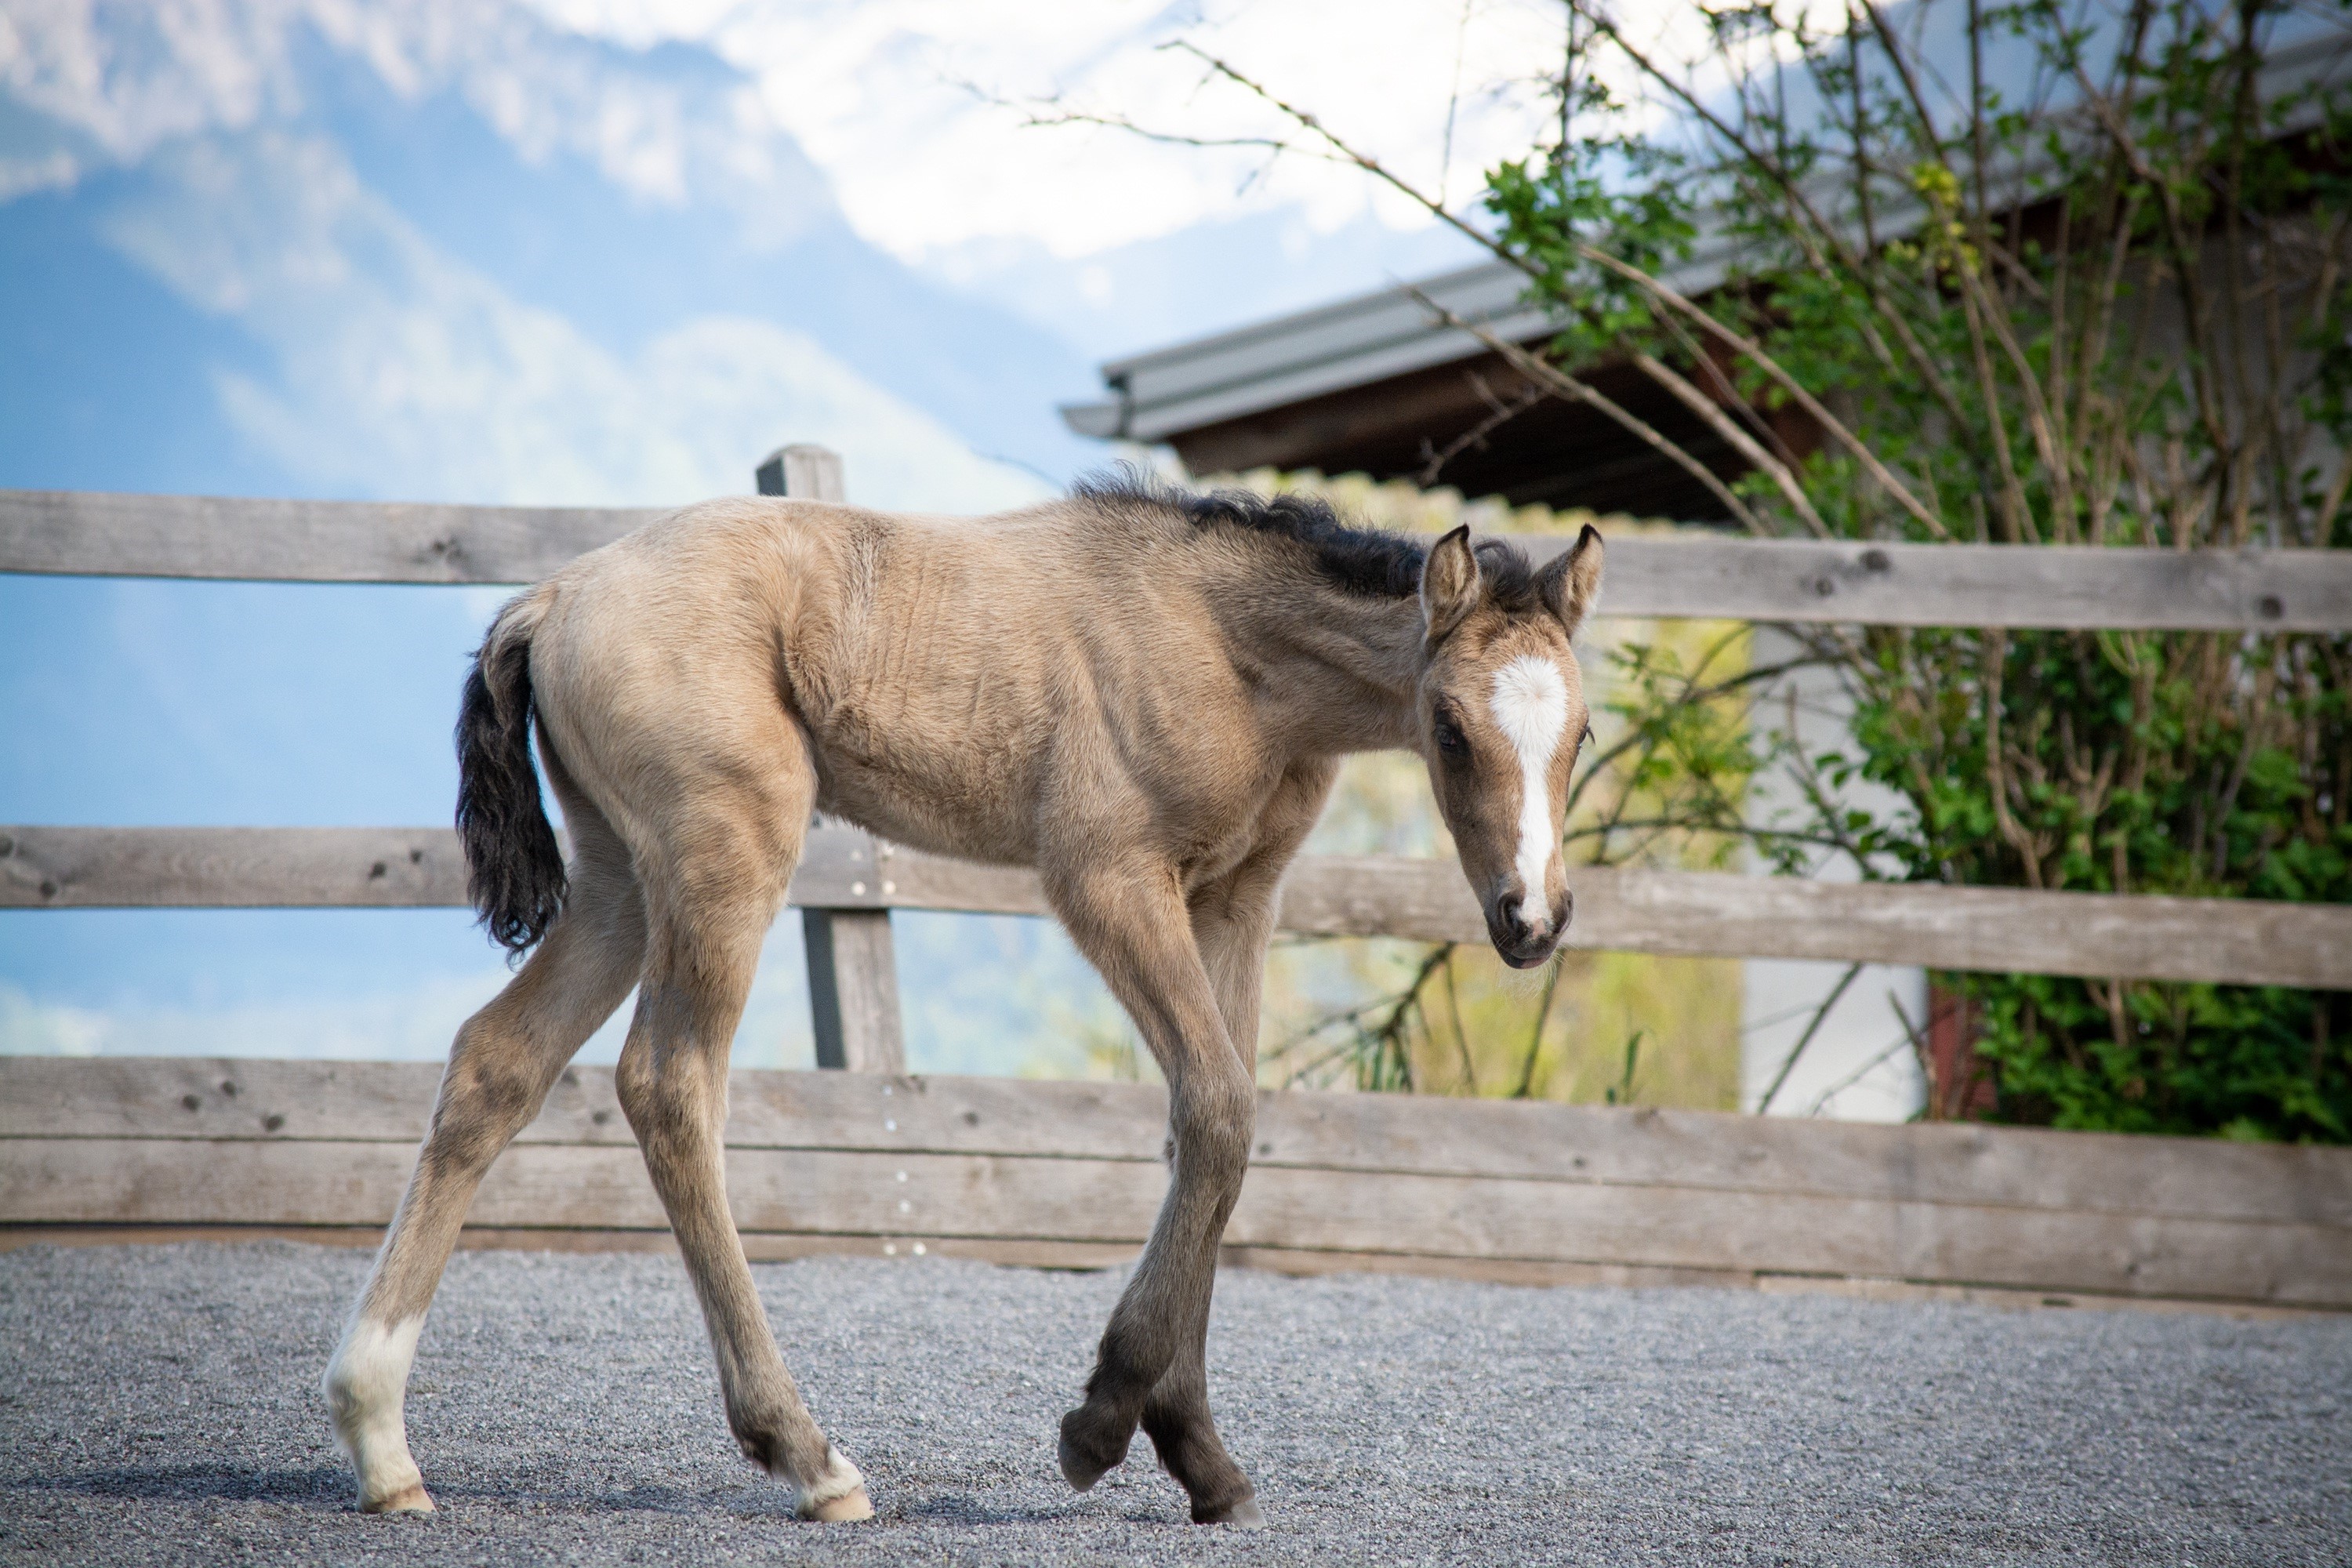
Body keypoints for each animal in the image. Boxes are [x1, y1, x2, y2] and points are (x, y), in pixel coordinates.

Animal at [322, 472, 1604, 1526]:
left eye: (1583, 731)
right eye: (1449, 726)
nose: (1531, 921)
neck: (1224, 646)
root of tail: (552, 597)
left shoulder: (1237, 898)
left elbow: (1210, 1126)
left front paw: (1198, 1453)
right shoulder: (1105, 878)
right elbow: (1220, 1111)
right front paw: (1102, 1425)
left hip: (619, 880)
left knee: (496, 1062)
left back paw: (383, 1445)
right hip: (724, 851)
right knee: (670, 1087)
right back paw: (810, 1457)